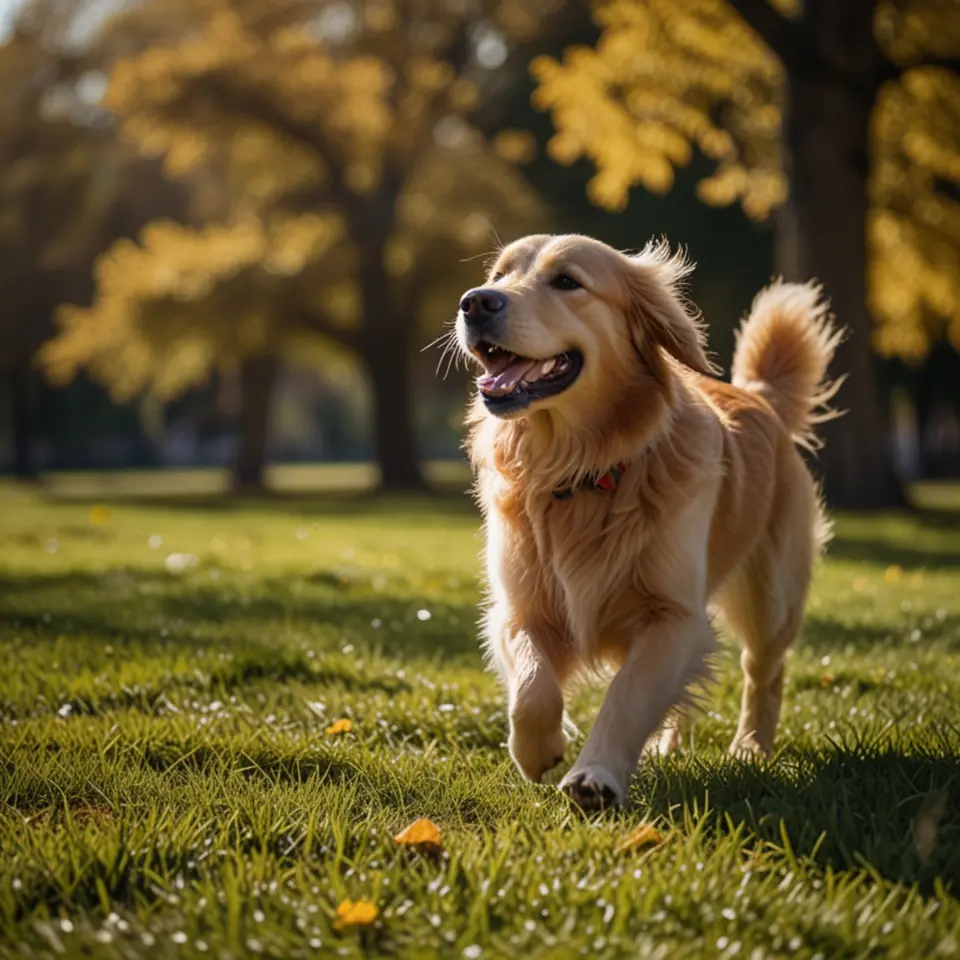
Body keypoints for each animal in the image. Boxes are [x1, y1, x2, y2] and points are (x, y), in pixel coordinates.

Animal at [458, 234, 840, 808]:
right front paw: (538, 749)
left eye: (567, 281)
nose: (475, 302)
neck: (583, 470)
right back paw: (667, 744)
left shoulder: (672, 614)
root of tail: (759, 398)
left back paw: (750, 747)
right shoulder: (520, 607)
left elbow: (628, 694)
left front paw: (594, 776)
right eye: (498, 276)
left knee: (763, 673)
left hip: (771, 597)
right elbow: (531, 685)